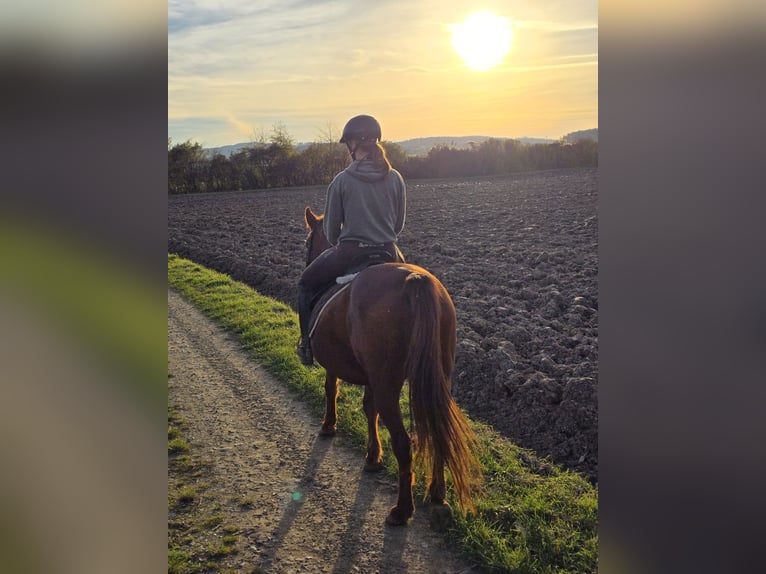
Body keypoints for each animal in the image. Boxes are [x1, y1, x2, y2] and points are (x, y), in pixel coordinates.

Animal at [301, 206, 482, 526]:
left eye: (308, 241)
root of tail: (415, 281)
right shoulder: (371, 377)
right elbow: (368, 408)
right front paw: (373, 456)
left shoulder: (338, 366)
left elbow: (331, 390)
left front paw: (329, 424)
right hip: (436, 380)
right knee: (436, 433)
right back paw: (437, 493)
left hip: (389, 385)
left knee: (404, 443)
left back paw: (403, 509)